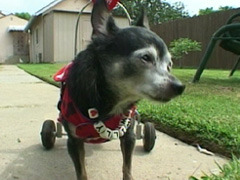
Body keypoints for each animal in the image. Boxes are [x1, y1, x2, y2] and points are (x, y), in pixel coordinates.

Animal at [58, 0, 186, 179]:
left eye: (169, 65)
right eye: (146, 58)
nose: (180, 87)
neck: (111, 104)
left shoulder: (129, 136)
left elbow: (127, 166)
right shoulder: (74, 141)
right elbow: (81, 172)